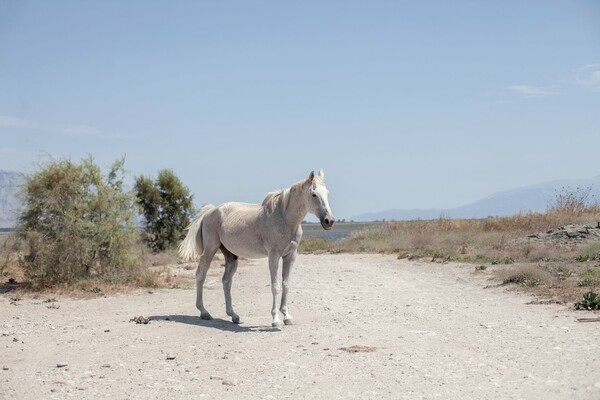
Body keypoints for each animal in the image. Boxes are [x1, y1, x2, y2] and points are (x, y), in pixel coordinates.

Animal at [178, 170, 338, 328]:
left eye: (327, 193)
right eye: (314, 194)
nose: (329, 221)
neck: (284, 219)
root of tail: (210, 211)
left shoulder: (290, 256)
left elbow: (286, 285)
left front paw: (287, 317)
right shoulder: (274, 256)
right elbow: (275, 286)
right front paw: (276, 320)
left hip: (230, 255)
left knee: (226, 282)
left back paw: (234, 316)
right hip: (210, 249)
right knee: (201, 275)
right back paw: (204, 312)